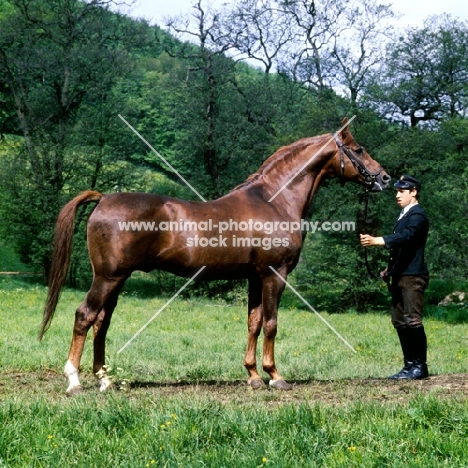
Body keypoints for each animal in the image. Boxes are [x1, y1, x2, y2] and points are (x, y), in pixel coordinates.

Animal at [39, 118, 392, 394]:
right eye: (358, 149)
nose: (385, 178)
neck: (274, 200)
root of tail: (103, 198)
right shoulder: (274, 274)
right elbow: (271, 323)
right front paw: (275, 376)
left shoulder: (255, 277)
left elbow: (253, 322)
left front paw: (253, 376)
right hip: (107, 277)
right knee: (85, 316)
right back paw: (74, 381)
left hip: (117, 279)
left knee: (101, 322)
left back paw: (106, 380)